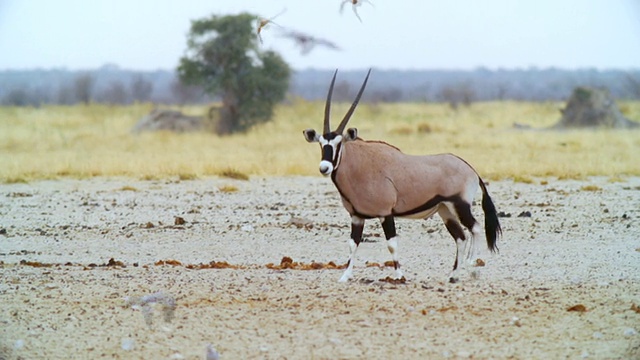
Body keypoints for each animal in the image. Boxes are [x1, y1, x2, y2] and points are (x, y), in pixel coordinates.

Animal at [302, 69, 502, 284]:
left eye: (339, 144)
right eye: (321, 144)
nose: (324, 167)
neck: (360, 165)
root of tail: (472, 170)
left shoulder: (385, 213)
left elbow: (391, 244)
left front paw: (399, 275)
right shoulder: (357, 217)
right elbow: (352, 244)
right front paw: (345, 276)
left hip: (460, 204)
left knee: (475, 228)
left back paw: (472, 267)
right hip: (445, 210)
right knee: (461, 237)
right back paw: (453, 275)